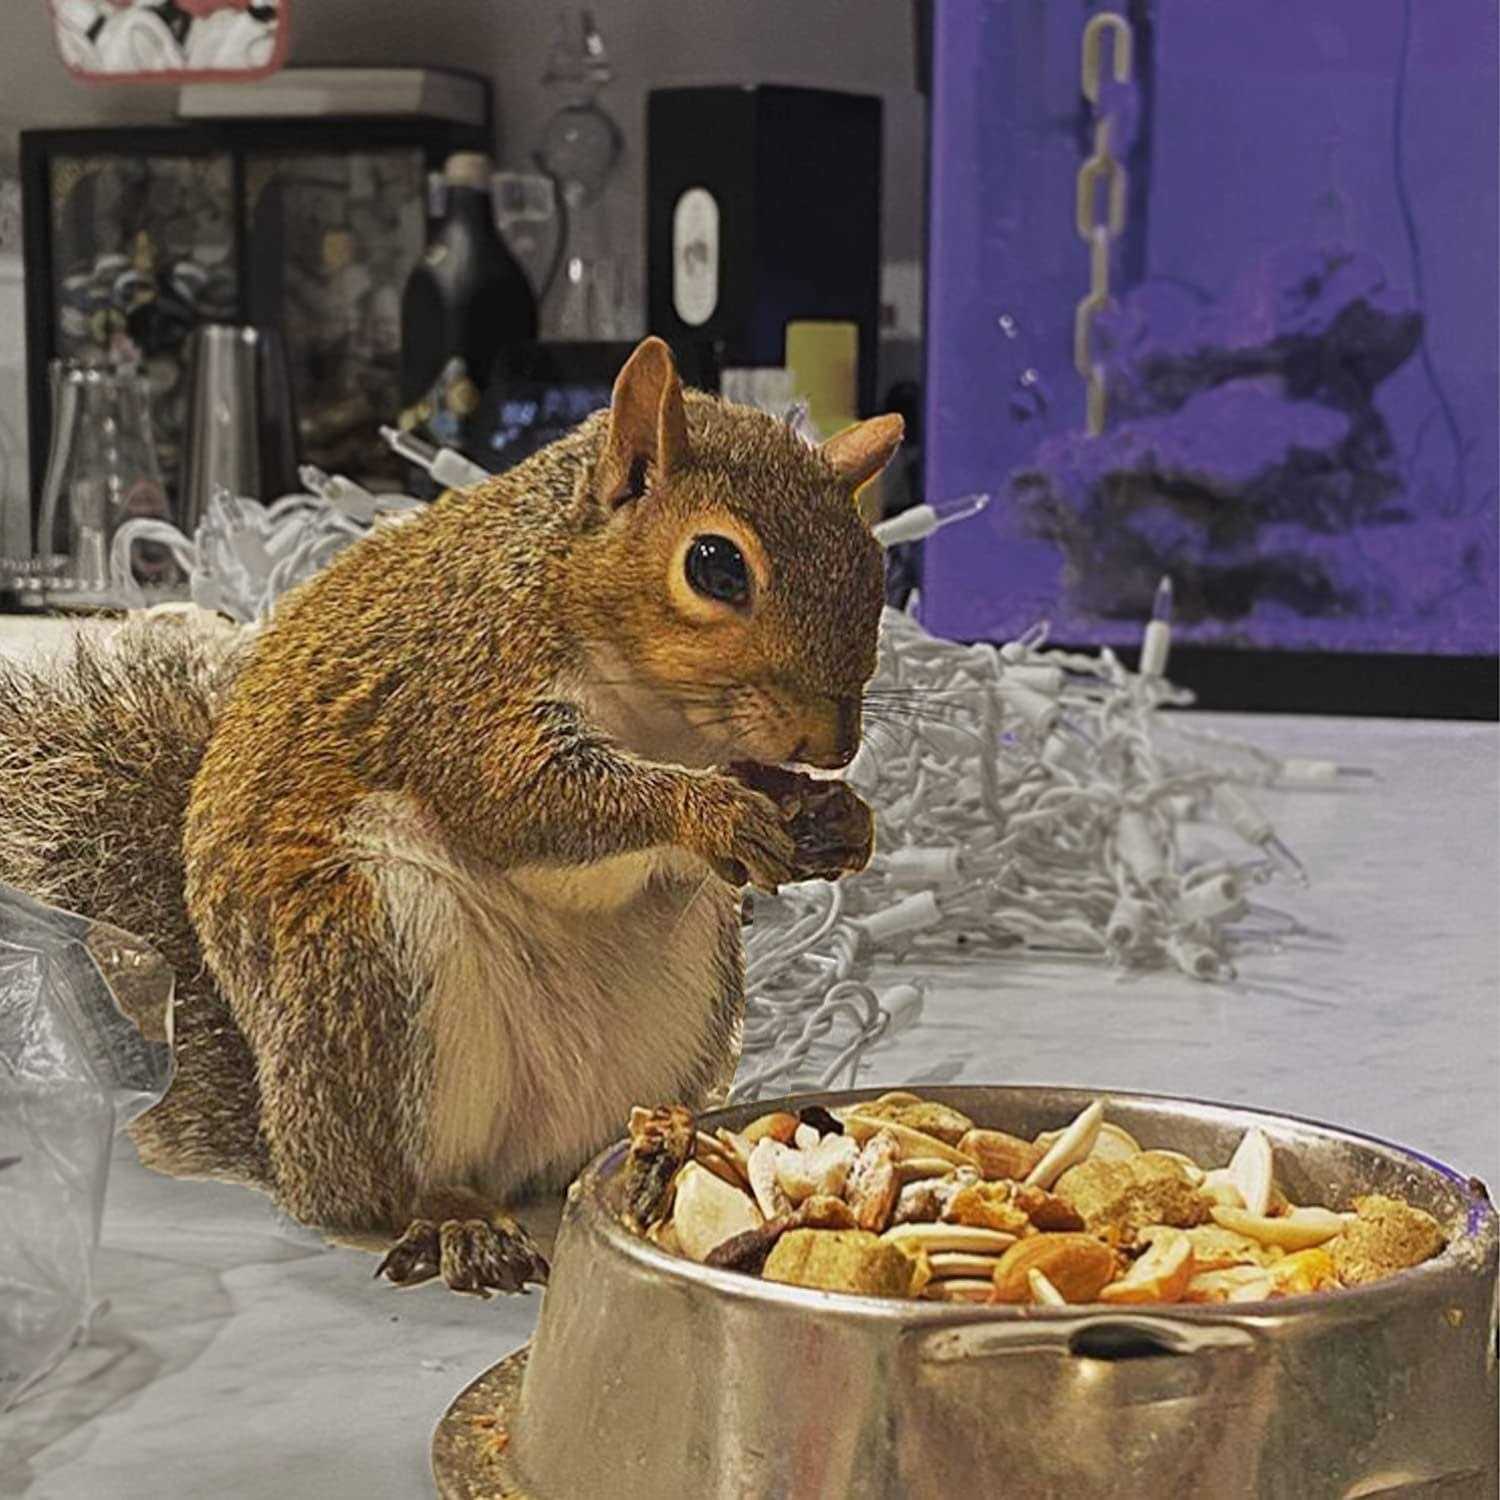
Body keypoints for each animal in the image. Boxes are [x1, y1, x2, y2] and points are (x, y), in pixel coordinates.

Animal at [0, 337, 902, 1295]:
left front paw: (840, 818)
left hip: (685, 994)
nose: (835, 742)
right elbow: (528, 801)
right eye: (716, 566)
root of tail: (290, 1147)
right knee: (398, 1184)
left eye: (875, 566)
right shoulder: (462, 689)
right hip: (375, 957)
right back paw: (458, 1220)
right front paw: (713, 813)